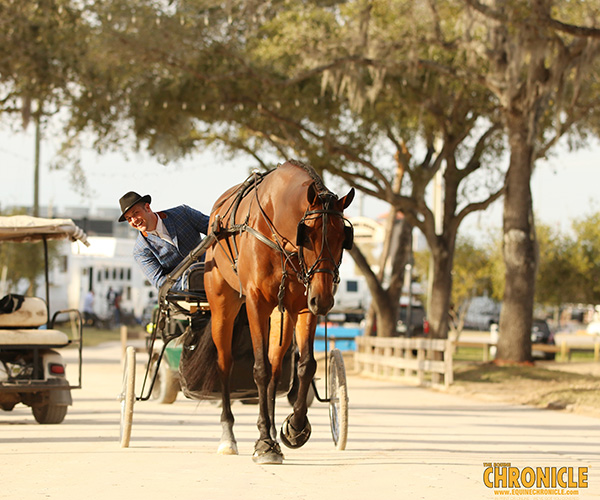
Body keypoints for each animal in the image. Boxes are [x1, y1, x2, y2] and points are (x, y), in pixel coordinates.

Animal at [186, 161, 352, 464]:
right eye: (308, 235)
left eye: (342, 238)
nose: (324, 300)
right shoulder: (256, 304)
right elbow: (260, 369)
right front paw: (264, 443)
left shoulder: (303, 306)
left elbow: (305, 365)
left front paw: (294, 428)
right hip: (223, 306)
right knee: (225, 364)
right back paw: (229, 436)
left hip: (282, 314)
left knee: (277, 367)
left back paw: (274, 430)